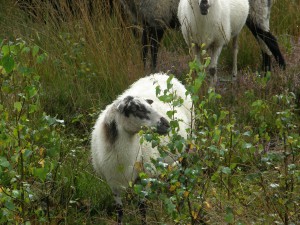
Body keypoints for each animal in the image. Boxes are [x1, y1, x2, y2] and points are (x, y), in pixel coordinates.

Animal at [90, 73, 192, 224]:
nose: (167, 124)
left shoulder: (144, 179)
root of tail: (163, 74)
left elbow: (142, 208)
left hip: (187, 146)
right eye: (136, 109)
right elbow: (119, 211)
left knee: (183, 175)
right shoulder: (113, 183)